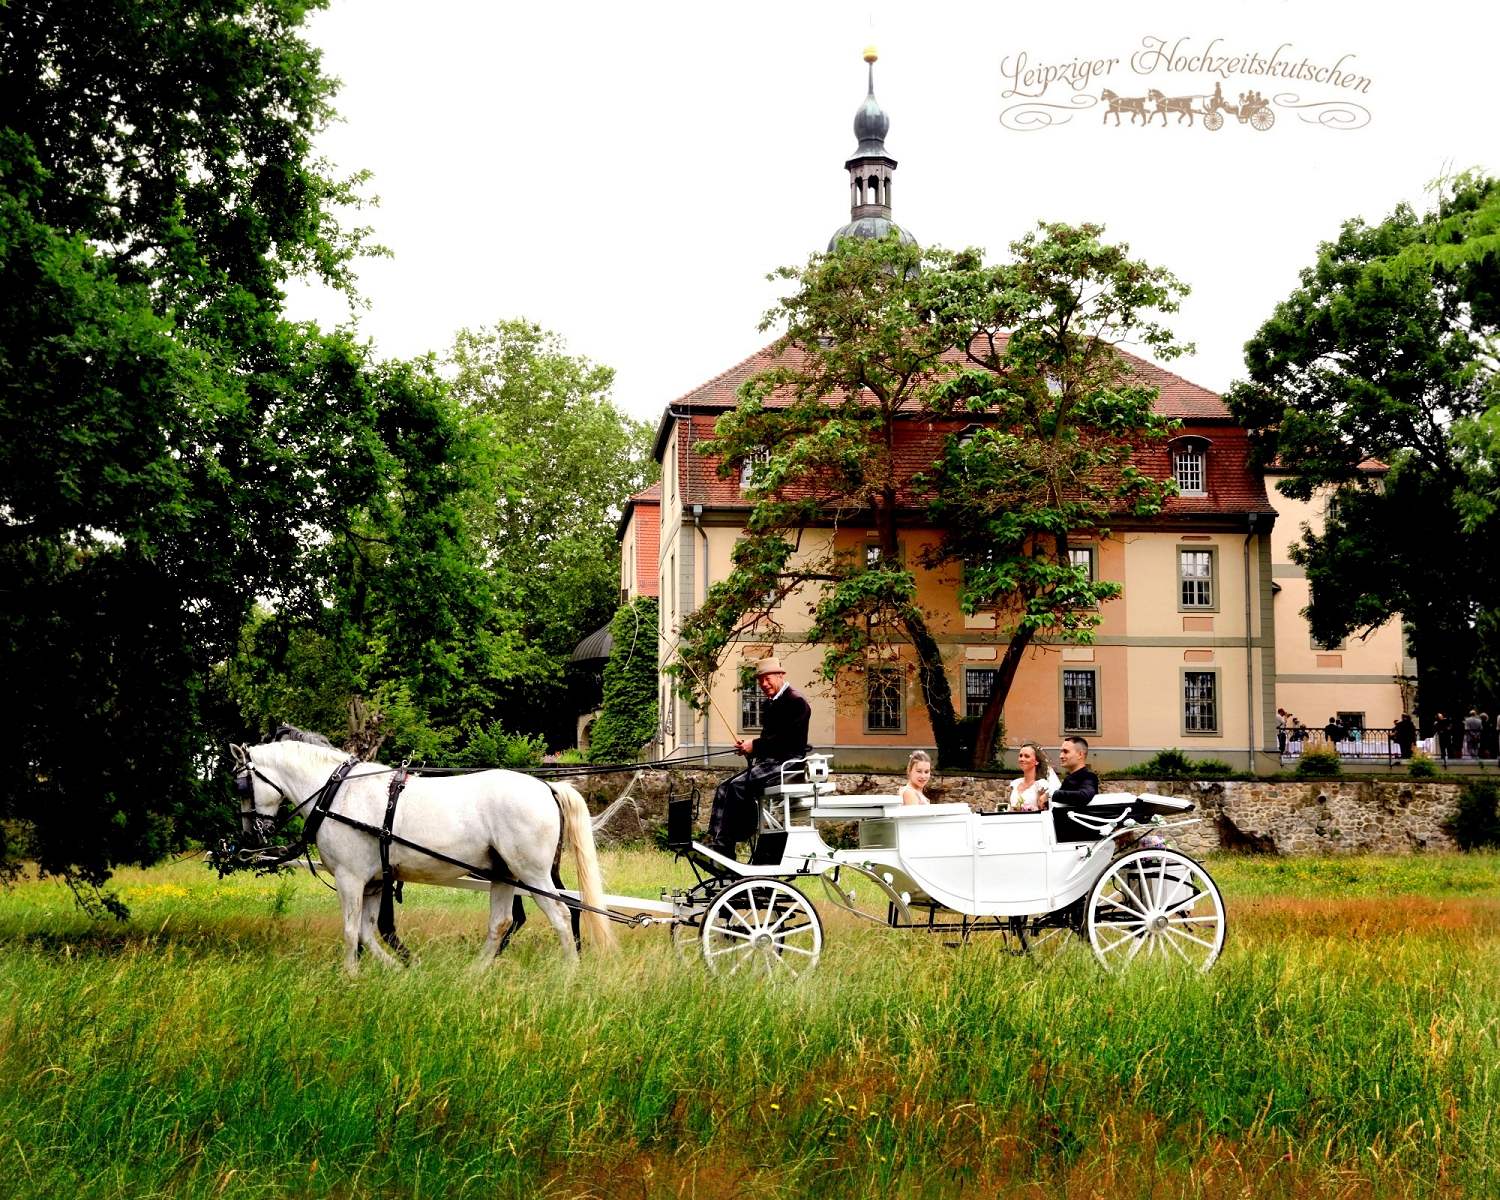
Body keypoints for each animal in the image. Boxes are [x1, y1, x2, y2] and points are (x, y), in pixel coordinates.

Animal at [229, 735, 615, 972]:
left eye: (241, 786)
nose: (251, 834)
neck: (337, 794)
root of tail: (547, 786)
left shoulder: (350, 879)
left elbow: (352, 931)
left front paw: (349, 977)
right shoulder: (374, 882)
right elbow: (368, 931)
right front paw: (401, 970)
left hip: (532, 874)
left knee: (563, 915)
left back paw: (567, 975)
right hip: (504, 874)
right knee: (502, 923)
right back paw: (474, 975)